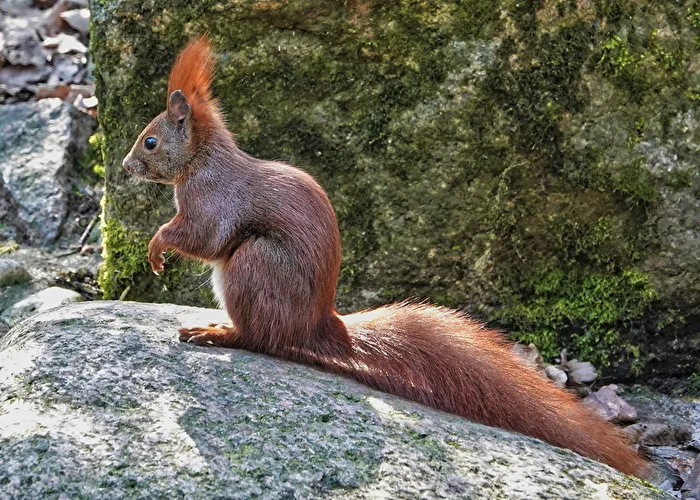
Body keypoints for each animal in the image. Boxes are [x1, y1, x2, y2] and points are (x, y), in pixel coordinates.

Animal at [121, 36, 649, 479]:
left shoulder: (213, 200)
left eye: (150, 140)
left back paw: (218, 332)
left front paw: (157, 246)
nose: (125, 167)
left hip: (254, 267)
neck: (202, 158)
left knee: (260, 338)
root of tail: (319, 326)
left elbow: (203, 237)